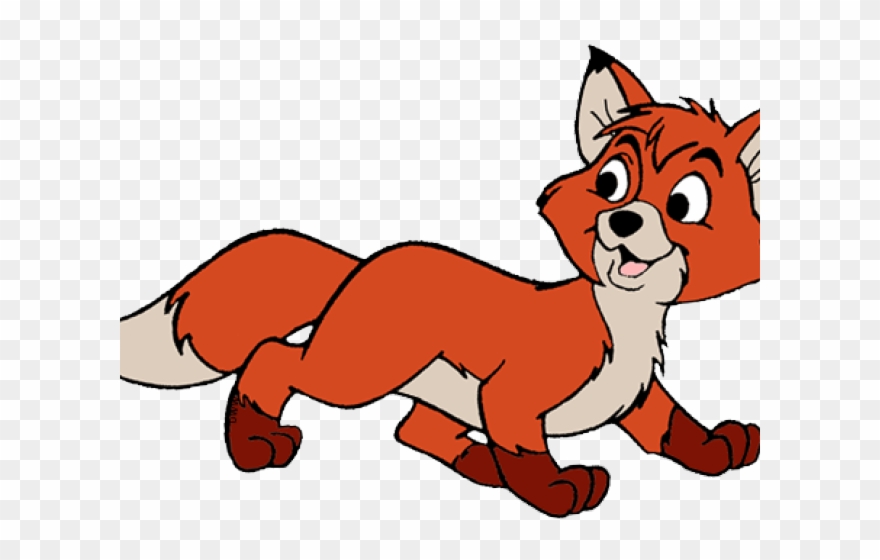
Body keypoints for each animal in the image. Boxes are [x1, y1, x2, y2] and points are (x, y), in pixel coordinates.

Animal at [121, 47, 760, 517]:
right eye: (611, 182)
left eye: (684, 203)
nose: (624, 220)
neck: (623, 324)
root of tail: (364, 261)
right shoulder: (511, 396)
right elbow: (527, 454)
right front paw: (556, 492)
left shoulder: (636, 397)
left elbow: (675, 429)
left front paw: (716, 448)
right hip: (359, 372)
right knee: (274, 358)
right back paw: (256, 446)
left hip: (434, 390)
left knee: (413, 430)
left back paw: (481, 468)